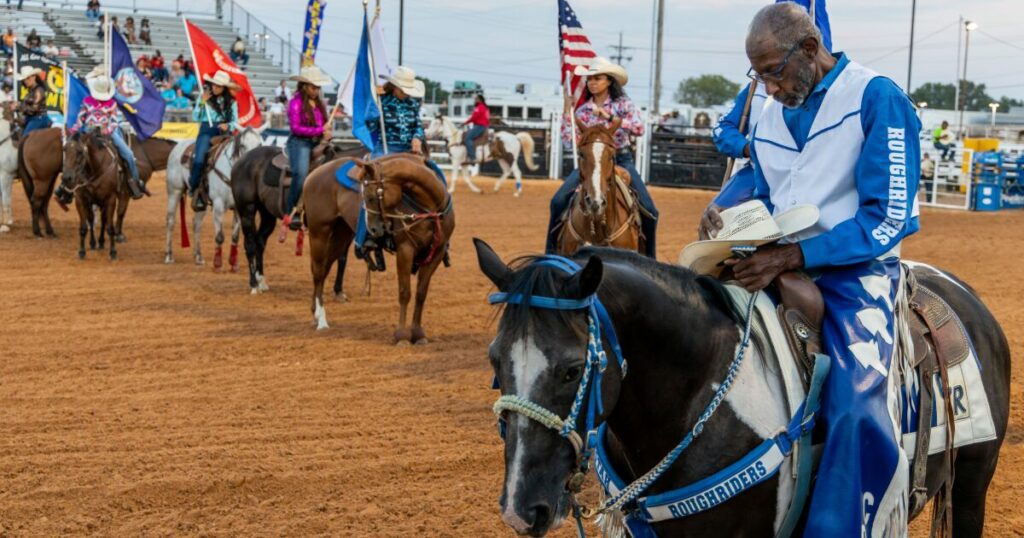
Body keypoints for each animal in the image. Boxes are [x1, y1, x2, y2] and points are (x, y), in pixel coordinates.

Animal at [56, 131, 122, 259]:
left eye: (80, 151)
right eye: (64, 149)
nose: (67, 178)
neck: (95, 170)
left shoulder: (110, 199)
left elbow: (110, 227)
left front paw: (113, 251)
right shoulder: (80, 200)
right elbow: (83, 227)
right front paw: (82, 251)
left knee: (103, 219)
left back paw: (101, 242)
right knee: (91, 220)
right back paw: (92, 242)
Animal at [163, 126, 264, 268]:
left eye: (260, 144)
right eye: (242, 145)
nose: (252, 163)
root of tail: (178, 147)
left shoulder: (239, 207)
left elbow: (235, 236)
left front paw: (233, 263)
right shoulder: (218, 205)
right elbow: (220, 236)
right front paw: (217, 263)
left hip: (201, 201)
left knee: (196, 224)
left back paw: (198, 257)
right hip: (174, 191)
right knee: (171, 221)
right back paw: (169, 255)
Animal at [346, 152, 454, 342]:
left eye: (371, 197)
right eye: (363, 198)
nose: (372, 229)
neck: (431, 207)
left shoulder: (437, 253)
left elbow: (421, 293)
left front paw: (418, 333)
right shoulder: (405, 250)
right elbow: (405, 292)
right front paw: (402, 335)